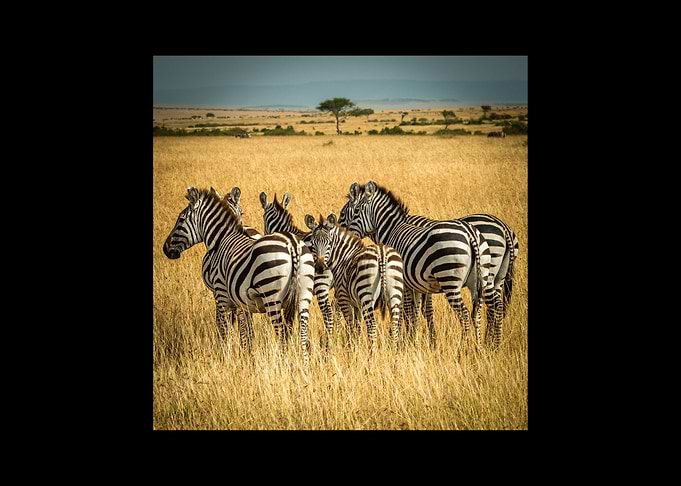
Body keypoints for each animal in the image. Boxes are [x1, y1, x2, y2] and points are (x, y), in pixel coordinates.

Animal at [163, 187, 315, 364]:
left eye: (180, 219)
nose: (165, 249)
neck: (221, 239)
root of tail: (293, 244)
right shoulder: (242, 301)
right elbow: (244, 329)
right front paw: (246, 354)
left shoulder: (221, 294)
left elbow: (224, 327)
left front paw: (225, 356)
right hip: (303, 295)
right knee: (303, 332)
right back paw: (304, 364)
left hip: (272, 296)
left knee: (282, 332)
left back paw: (282, 363)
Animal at [304, 213, 404, 353]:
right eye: (313, 244)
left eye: (329, 243)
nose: (319, 267)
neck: (343, 257)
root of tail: (381, 252)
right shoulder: (357, 304)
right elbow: (357, 327)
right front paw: (355, 348)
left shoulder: (344, 298)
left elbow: (350, 326)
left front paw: (350, 350)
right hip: (395, 294)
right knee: (394, 327)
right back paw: (394, 355)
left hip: (366, 294)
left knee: (371, 326)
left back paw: (372, 355)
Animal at [338, 181, 491, 349]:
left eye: (354, 211)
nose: (342, 234)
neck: (391, 229)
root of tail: (470, 232)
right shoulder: (417, 286)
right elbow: (416, 313)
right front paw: (413, 340)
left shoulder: (403, 283)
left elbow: (405, 312)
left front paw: (402, 341)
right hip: (479, 279)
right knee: (477, 314)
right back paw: (478, 348)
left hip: (449, 279)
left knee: (464, 315)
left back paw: (462, 348)